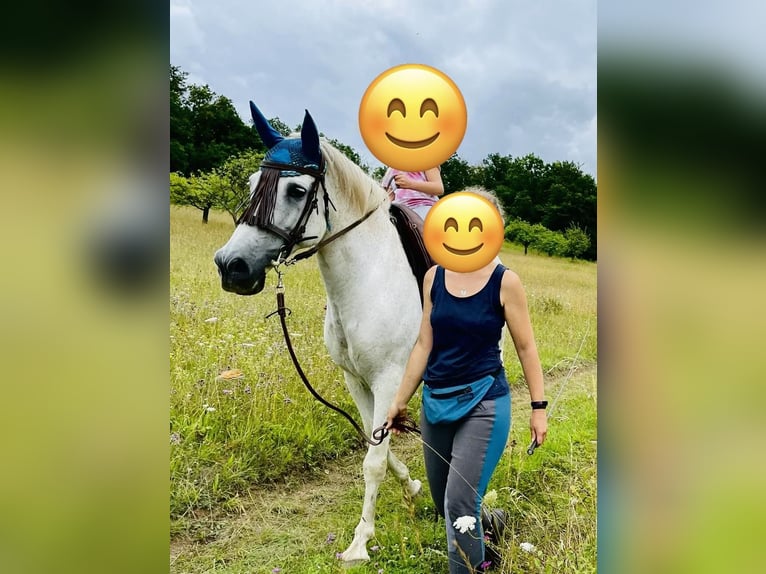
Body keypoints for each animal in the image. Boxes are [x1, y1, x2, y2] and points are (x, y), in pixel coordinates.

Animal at [214, 101, 423, 563]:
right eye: (252, 183)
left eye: (295, 191)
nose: (230, 266)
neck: (368, 281)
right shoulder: (356, 380)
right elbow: (375, 444)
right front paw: (412, 486)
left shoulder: (388, 378)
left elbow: (373, 461)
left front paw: (360, 542)